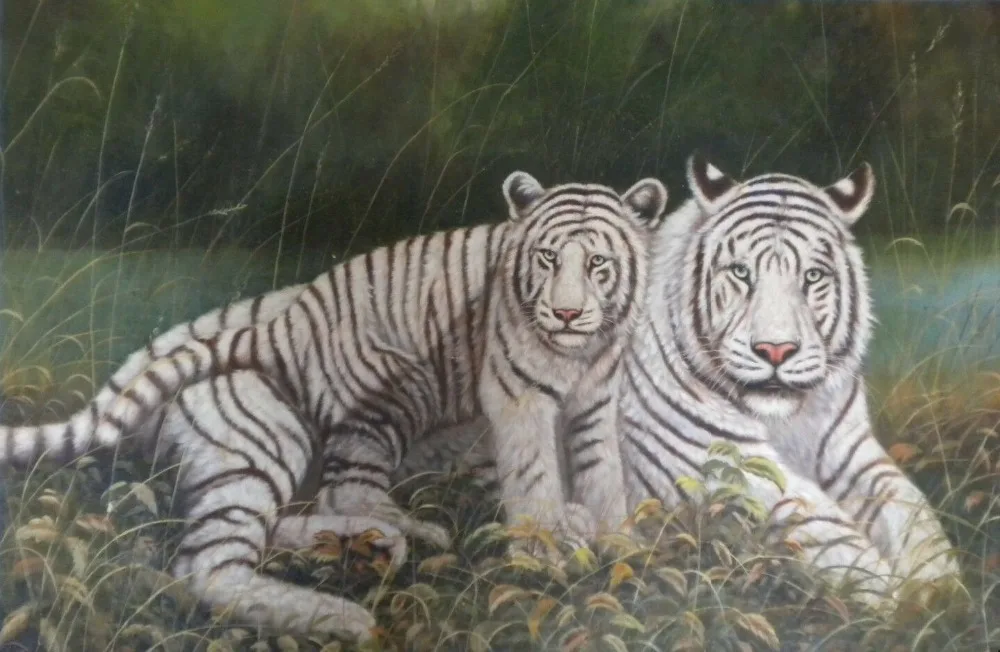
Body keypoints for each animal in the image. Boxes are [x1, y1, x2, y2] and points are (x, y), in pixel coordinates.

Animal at [0, 171, 668, 640]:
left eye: (598, 263)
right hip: (354, 408)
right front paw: (544, 552)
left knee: (295, 517)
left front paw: (619, 544)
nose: (566, 313)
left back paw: (364, 547)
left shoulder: (596, 399)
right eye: (548, 259)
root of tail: (283, 322)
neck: (581, 352)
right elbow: (533, 474)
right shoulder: (517, 394)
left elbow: (601, 470)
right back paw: (350, 606)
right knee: (221, 560)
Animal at [395, 153, 960, 603]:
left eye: (813, 276)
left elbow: (913, 516)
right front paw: (896, 602)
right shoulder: (722, 461)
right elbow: (821, 525)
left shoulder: (852, 452)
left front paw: (939, 592)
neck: (785, 419)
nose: (775, 350)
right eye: (741, 273)